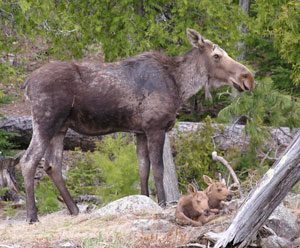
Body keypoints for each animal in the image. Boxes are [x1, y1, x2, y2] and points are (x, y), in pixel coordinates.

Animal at [20, 29, 253, 223]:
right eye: (216, 55)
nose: (248, 77)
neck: (180, 86)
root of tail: (27, 84)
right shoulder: (155, 127)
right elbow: (158, 169)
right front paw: (162, 202)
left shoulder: (139, 131)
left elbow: (143, 168)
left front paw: (144, 198)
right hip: (46, 121)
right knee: (28, 160)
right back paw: (32, 216)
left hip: (60, 128)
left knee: (52, 165)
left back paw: (74, 209)